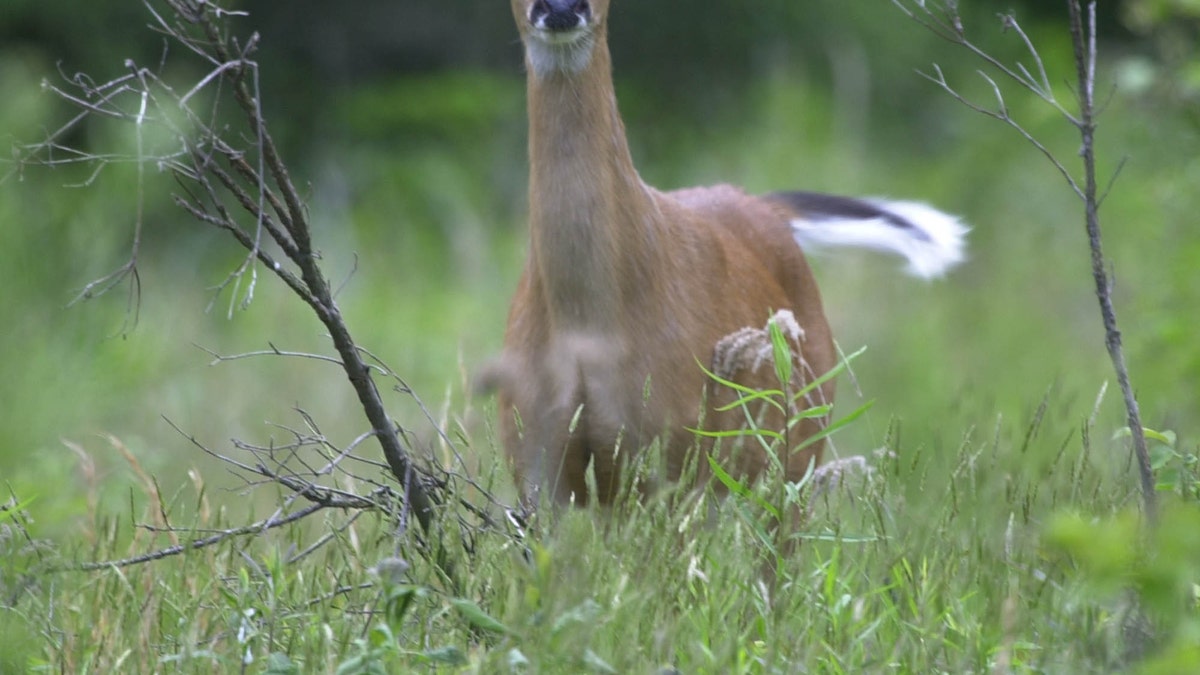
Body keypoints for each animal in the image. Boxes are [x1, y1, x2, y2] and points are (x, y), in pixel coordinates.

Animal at [492, 0, 969, 504]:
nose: (562, 8)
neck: (588, 329)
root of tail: (765, 205)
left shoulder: (673, 451)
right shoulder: (534, 459)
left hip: (795, 447)